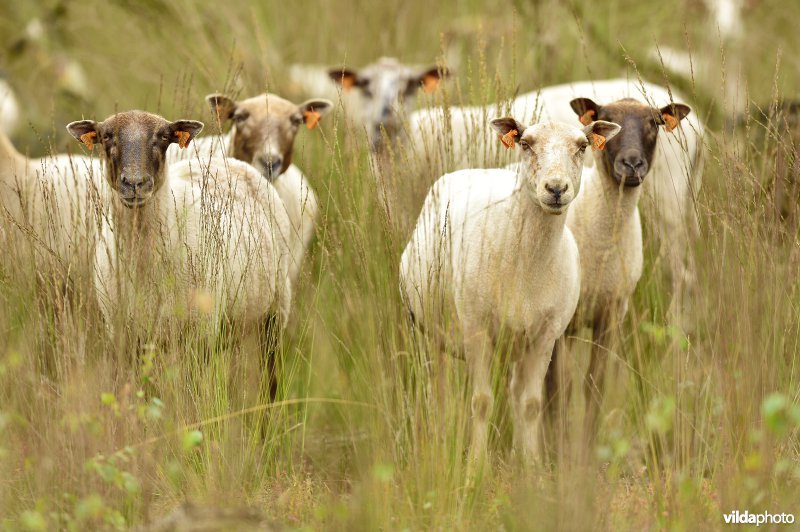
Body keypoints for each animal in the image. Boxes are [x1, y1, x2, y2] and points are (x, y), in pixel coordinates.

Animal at [69, 111, 294, 394]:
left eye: (164, 137)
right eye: (107, 136)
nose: (135, 183)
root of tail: (231, 162)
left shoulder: (198, 335)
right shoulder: (125, 338)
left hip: (273, 316)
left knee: (270, 378)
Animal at [398, 114, 620, 464]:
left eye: (582, 146)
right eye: (525, 143)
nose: (555, 189)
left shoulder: (545, 335)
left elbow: (530, 404)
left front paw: (531, 466)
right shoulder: (475, 329)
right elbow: (481, 401)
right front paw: (476, 465)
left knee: (515, 392)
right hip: (428, 330)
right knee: (437, 387)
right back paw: (437, 441)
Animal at [544, 96, 692, 444]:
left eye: (654, 123)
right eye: (608, 119)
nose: (632, 164)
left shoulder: (611, 314)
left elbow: (593, 386)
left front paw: (584, 449)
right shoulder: (561, 322)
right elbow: (560, 390)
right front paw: (559, 451)